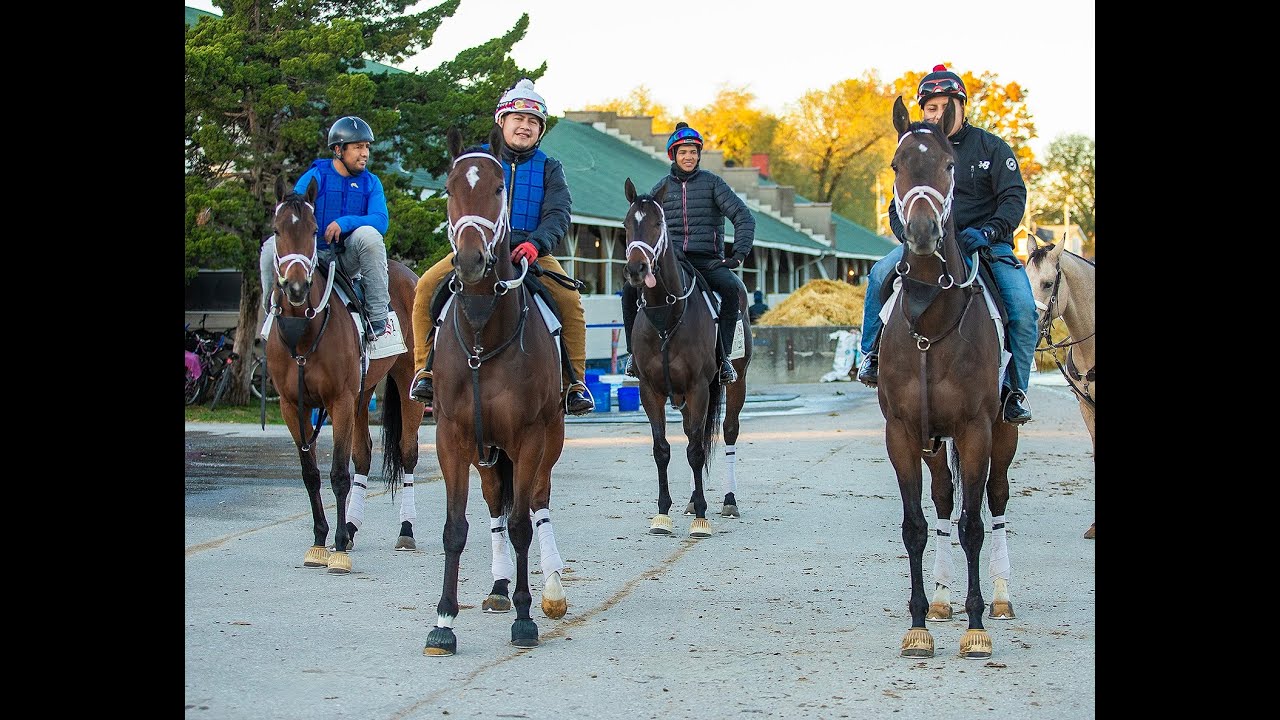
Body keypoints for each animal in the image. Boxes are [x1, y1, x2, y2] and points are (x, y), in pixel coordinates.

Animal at [263, 178, 425, 574]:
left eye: (313, 230)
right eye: (277, 230)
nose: (295, 287)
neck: (304, 332)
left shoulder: (337, 400)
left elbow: (337, 474)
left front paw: (335, 548)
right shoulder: (293, 406)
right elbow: (311, 474)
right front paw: (322, 540)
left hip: (406, 384)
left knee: (407, 453)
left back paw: (406, 530)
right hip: (361, 395)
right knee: (364, 455)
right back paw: (351, 527)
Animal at [422, 126, 569, 656]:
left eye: (499, 188)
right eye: (449, 188)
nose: (469, 260)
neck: (484, 332)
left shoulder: (528, 437)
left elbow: (525, 523)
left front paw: (526, 618)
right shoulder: (453, 437)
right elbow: (455, 528)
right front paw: (444, 621)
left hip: (549, 440)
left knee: (538, 502)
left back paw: (551, 590)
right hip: (487, 453)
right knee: (494, 506)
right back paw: (500, 586)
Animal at [621, 177, 753, 538]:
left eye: (658, 223)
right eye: (627, 224)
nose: (636, 269)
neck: (667, 315)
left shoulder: (698, 388)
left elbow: (695, 450)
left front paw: (702, 518)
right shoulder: (650, 390)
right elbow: (662, 449)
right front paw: (662, 514)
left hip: (736, 380)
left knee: (729, 430)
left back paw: (728, 500)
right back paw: (693, 500)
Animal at [874, 96, 1019, 659]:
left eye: (951, 165)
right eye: (897, 164)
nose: (920, 231)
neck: (931, 320)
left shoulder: (977, 430)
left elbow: (973, 525)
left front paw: (976, 624)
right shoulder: (903, 432)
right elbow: (916, 526)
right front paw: (919, 621)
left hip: (1002, 432)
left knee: (996, 500)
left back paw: (999, 597)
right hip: (934, 442)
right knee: (940, 501)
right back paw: (939, 599)